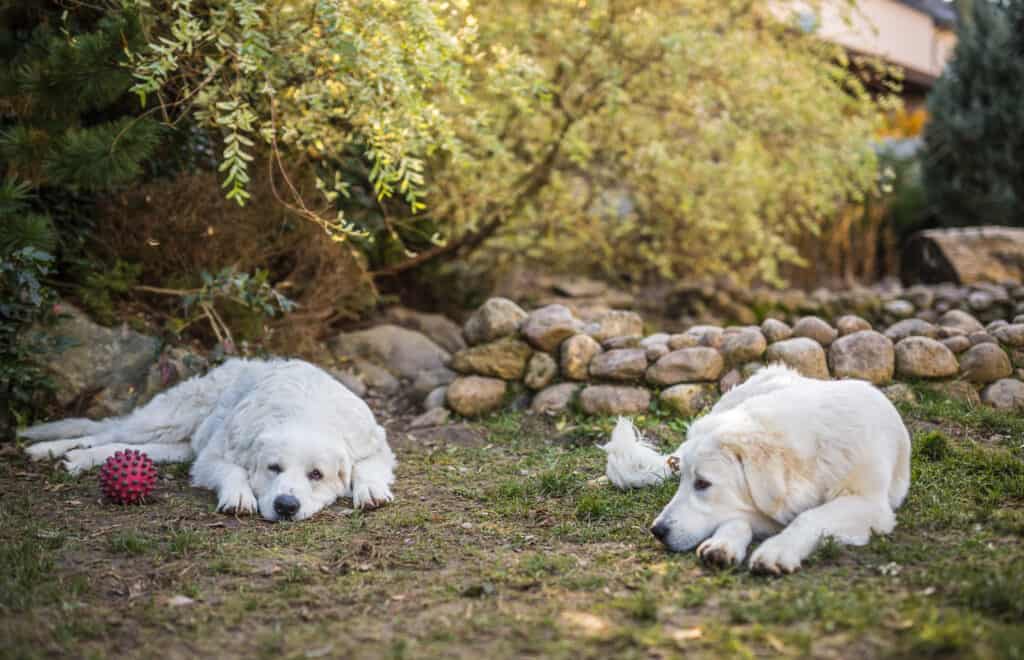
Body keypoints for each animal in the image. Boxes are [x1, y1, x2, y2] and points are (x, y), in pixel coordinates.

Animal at [20, 358, 395, 521]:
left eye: (316, 475)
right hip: (167, 420)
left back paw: (78, 458)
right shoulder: (214, 457)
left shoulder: (376, 446)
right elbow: (233, 472)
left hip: (175, 444)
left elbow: (367, 468)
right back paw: (49, 449)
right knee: (106, 430)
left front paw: (370, 491)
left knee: (126, 447)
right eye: (273, 468)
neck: (304, 412)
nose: (286, 506)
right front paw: (238, 497)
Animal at [598, 362, 913, 573]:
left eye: (703, 484)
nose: (657, 530)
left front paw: (778, 550)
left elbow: (809, 517)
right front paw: (724, 544)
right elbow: (737, 517)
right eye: (684, 482)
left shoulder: (869, 504)